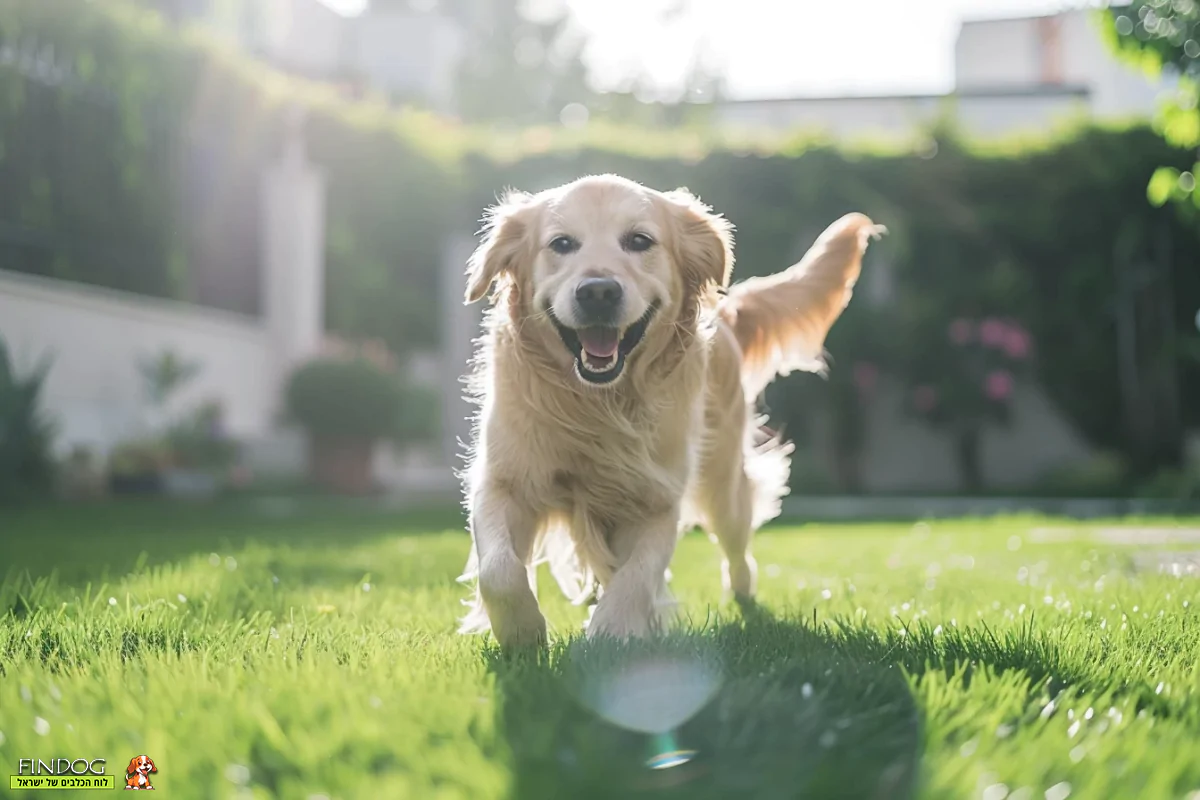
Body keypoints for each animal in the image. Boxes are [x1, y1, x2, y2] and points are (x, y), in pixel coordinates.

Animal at [456, 172, 883, 647]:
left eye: (639, 241)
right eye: (561, 243)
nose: (598, 291)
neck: (597, 405)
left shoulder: (656, 500)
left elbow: (637, 577)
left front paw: (610, 635)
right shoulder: (503, 482)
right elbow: (498, 569)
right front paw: (522, 631)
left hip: (723, 483)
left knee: (737, 549)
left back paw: (745, 599)